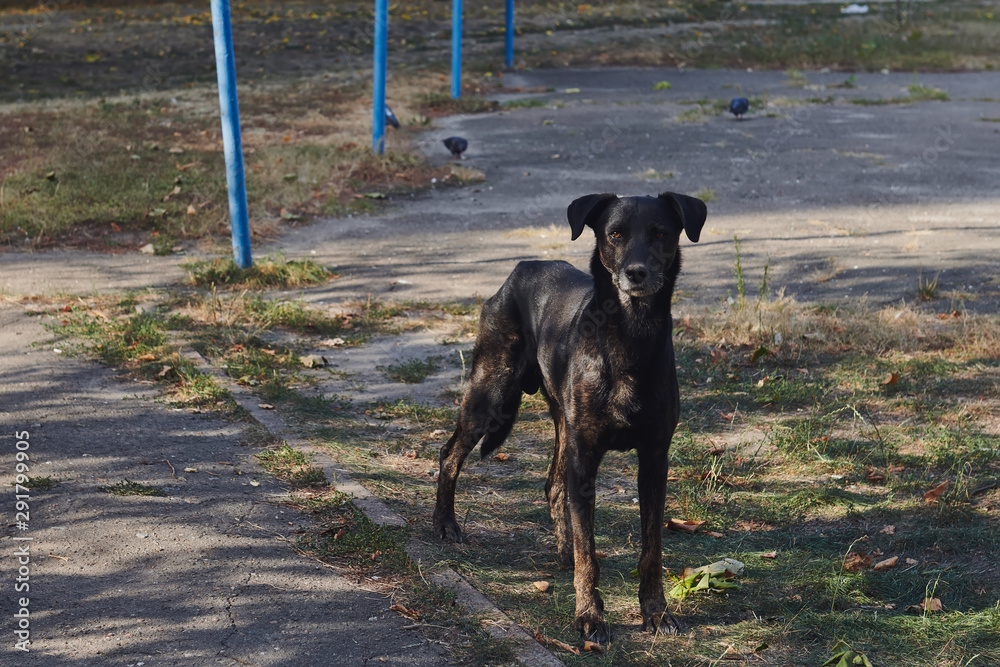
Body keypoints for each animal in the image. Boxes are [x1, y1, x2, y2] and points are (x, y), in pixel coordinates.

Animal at [434, 190, 708, 644]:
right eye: (615, 234)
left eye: (660, 233)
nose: (636, 273)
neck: (629, 336)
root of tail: (523, 267)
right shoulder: (586, 460)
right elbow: (589, 553)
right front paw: (589, 616)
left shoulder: (654, 460)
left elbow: (650, 548)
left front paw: (655, 612)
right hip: (490, 395)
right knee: (449, 454)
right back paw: (445, 525)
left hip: (562, 423)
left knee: (553, 484)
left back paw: (563, 550)